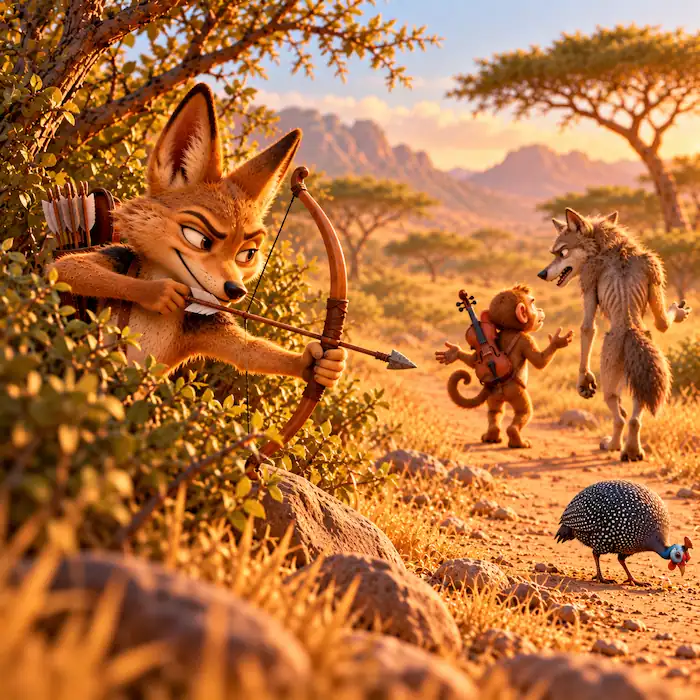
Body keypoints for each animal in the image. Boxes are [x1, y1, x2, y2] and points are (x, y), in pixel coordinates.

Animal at [52, 84, 346, 388]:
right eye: (199, 239)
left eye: (248, 254)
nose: (236, 290)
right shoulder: (118, 256)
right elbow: (66, 267)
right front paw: (161, 292)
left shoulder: (205, 325)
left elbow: (248, 353)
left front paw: (318, 364)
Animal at [436, 284, 574, 448]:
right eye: (533, 304)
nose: (540, 309)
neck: (511, 328)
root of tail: (496, 378)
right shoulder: (526, 339)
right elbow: (539, 361)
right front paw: (558, 341)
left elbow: (473, 359)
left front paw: (453, 353)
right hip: (516, 392)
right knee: (523, 412)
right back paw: (517, 441)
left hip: (494, 395)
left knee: (494, 412)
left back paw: (491, 437)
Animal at [538, 208, 691, 461]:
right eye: (555, 252)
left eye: (562, 252)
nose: (541, 273)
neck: (609, 245)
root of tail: (631, 329)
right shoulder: (655, 270)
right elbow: (662, 322)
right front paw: (678, 312)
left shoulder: (588, 284)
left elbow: (587, 329)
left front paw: (584, 380)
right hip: (637, 373)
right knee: (635, 416)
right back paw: (633, 450)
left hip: (608, 377)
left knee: (618, 415)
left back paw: (613, 445)